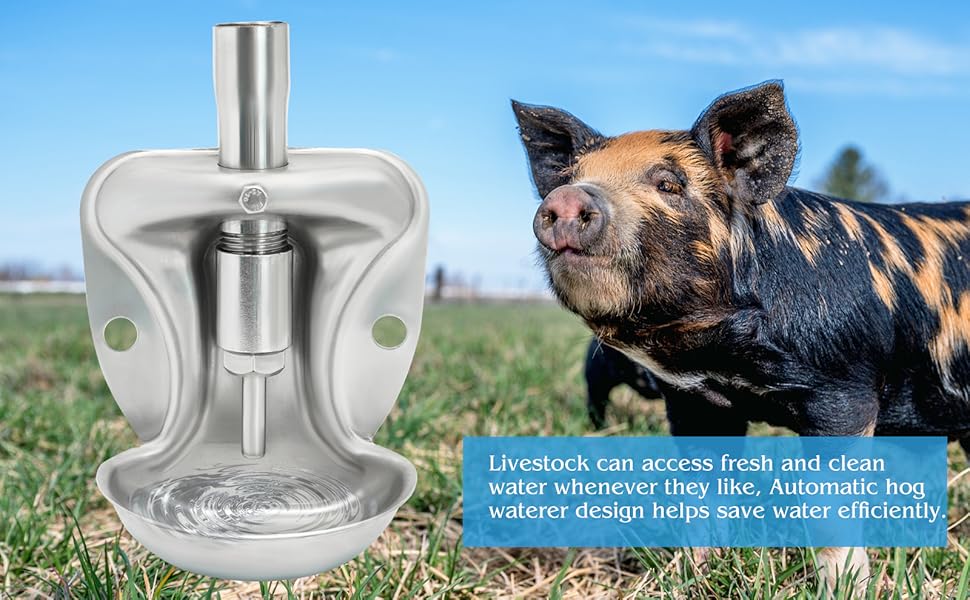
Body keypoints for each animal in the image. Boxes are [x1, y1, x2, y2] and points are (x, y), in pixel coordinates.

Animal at [512, 81, 970, 594]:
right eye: (572, 176)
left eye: (669, 184)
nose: (567, 199)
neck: (727, 359)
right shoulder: (695, 400)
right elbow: (701, 495)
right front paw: (694, 575)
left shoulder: (845, 388)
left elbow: (830, 511)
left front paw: (846, 589)